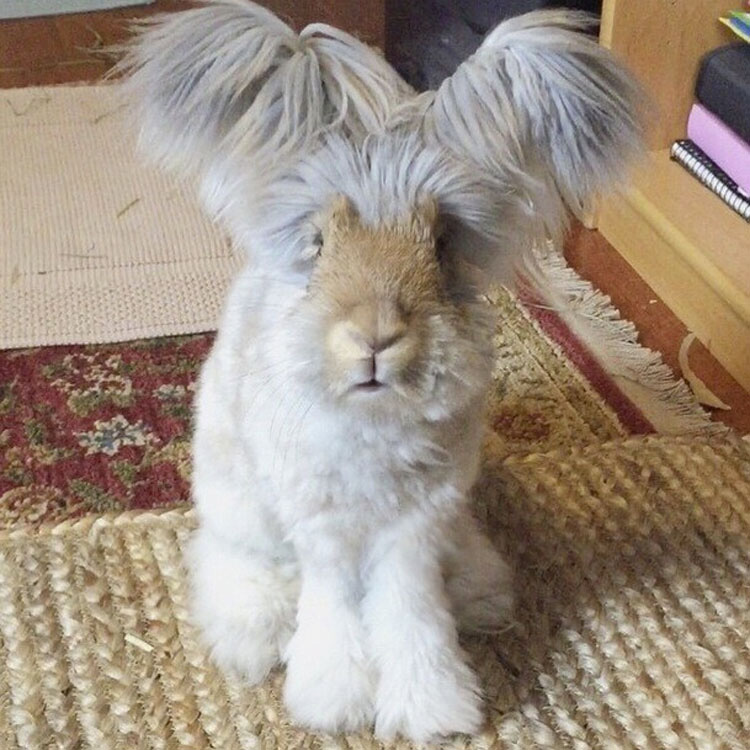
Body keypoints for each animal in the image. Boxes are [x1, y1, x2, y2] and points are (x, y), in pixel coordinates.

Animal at [120, 0, 644, 740]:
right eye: (317, 243)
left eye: (443, 244)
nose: (375, 337)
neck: (371, 417)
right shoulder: (325, 529)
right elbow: (336, 614)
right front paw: (335, 704)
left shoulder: (415, 530)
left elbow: (410, 614)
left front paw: (434, 708)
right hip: (239, 505)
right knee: (234, 564)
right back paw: (254, 637)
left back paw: (480, 597)